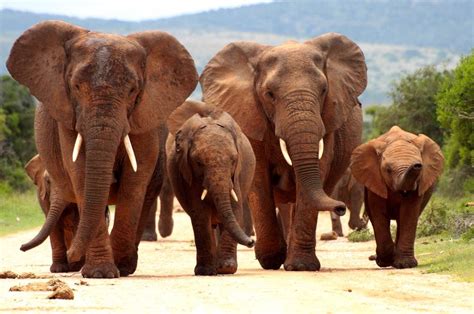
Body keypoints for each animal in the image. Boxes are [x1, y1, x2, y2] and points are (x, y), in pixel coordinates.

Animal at [9, 20, 198, 278]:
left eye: (132, 90)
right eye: (76, 86)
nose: (73, 255)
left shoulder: (144, 117)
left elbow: (135, 181)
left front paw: (118, 267)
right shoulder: (68, 116)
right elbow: (80, 173)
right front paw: (99, 273)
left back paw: (125, 265)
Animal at [167, 100, 256, 274]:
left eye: (234, 160)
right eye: (198, 163)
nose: (252, 241)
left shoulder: (237, 175)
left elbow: (235, 207)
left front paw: (226, 269)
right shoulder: (188, 174)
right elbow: (200, 213)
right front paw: (205, 271)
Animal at [200, 33, 366, 272]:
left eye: (324, 90)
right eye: (269, 94)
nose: (340, 207)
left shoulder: (329, 121)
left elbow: (316, 171)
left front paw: (300, 266)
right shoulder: (250, 115)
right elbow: (259, 177)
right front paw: (270, 259)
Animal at [348, 126, 444, 268]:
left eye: (420, 167)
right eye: (388, 170)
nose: (417, 165)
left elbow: (408, 214)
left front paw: (405, 265)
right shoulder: (375, 180)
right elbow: (378, 214)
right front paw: (384, 262)